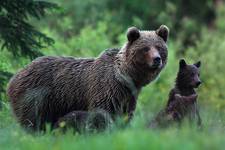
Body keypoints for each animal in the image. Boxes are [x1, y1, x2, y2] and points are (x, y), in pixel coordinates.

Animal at [7, 24, 169, 131]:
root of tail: (14, 77)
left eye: (159, 47)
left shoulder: (128, 96)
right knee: (32, 120)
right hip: (36, 95)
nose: (157, 59)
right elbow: (102, 113)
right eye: (145, 48)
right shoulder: (107, 88)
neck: (125, 77)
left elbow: (125, 115)